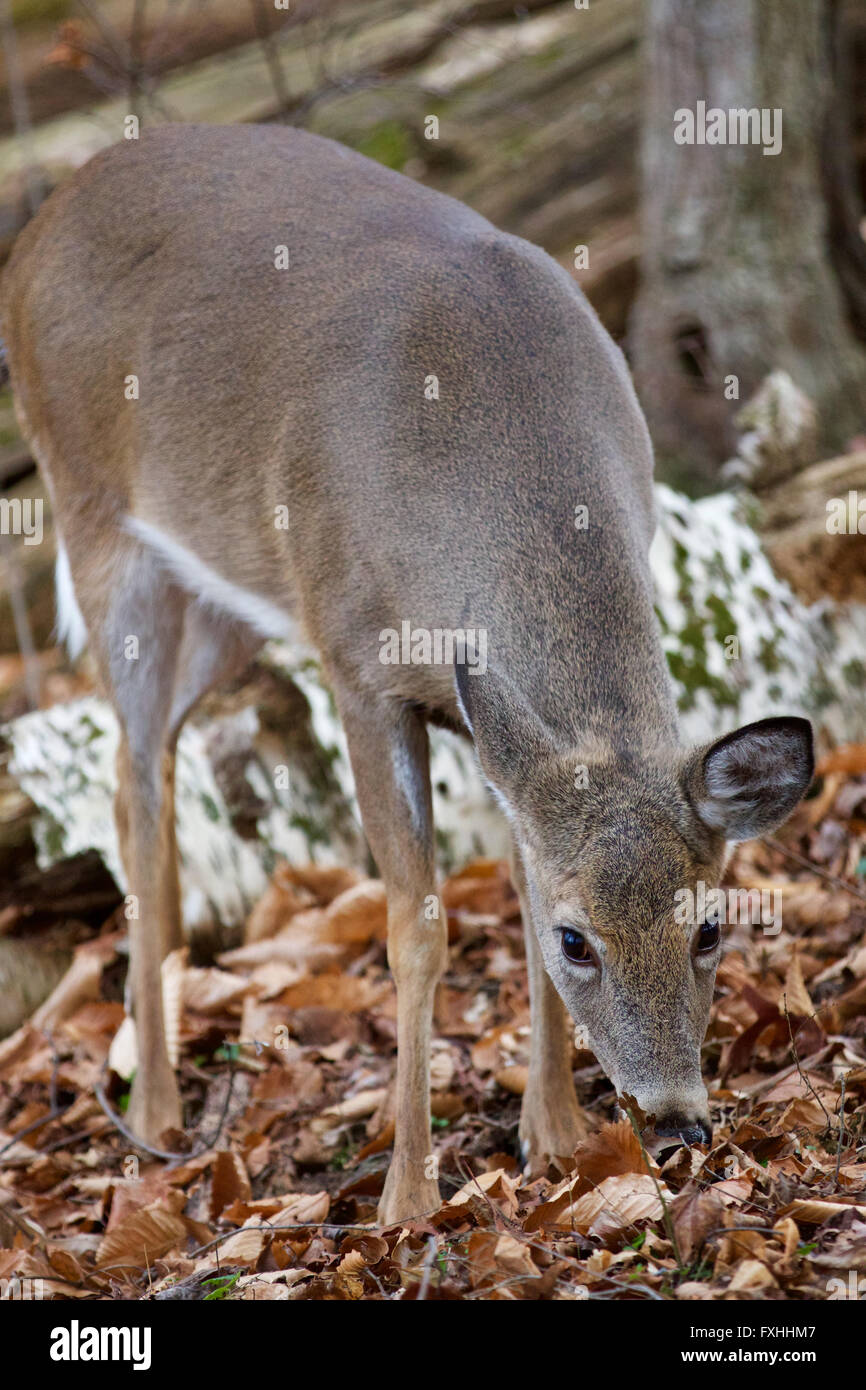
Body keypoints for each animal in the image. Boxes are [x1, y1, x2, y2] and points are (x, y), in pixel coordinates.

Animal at [0, 125, 817, 1223]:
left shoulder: (489, 715)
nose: (677, 1119)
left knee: (155, 761)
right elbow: (416, 928)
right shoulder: (356, 663)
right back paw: (160, 1112)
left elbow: (512, 886)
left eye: (710, 927)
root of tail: (46, 214)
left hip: (229, 600)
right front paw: (408, 1195)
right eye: (580, 941)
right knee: (132, 780)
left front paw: (554, 1136)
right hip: (95, 522)